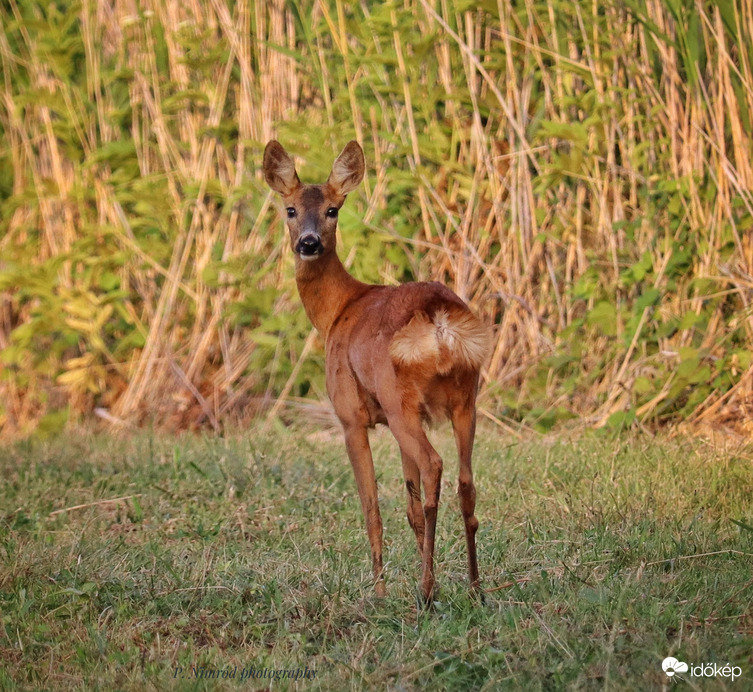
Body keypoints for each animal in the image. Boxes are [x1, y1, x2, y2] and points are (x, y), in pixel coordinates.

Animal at [262, 139, 490, 600]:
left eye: (333, 209)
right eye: (290, 209)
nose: (309, 243)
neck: (337, 311)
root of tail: (439, 320)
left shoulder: (351, 416)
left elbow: (372, 508)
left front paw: (381, 590)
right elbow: (409, 507)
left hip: (398, 399)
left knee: (435, 465)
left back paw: (425, 592)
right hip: (464, 399)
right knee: (465, 484)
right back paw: (474, 587)